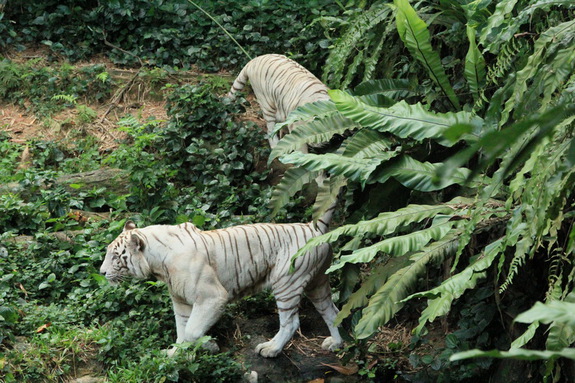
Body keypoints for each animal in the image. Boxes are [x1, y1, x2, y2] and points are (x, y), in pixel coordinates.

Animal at [99, 210, 342, 356]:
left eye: (115, 256)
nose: (101, 272)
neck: (158, 264)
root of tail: (313, 227)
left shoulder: (212, 297)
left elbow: (192, 331)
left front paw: (209, 345)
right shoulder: (181, 301)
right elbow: (182, 330)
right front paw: (176, 354)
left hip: (287, 283)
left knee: (291, 322)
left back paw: (271, 348)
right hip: (318, 283)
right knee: (333, 312)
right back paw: (336, 343)